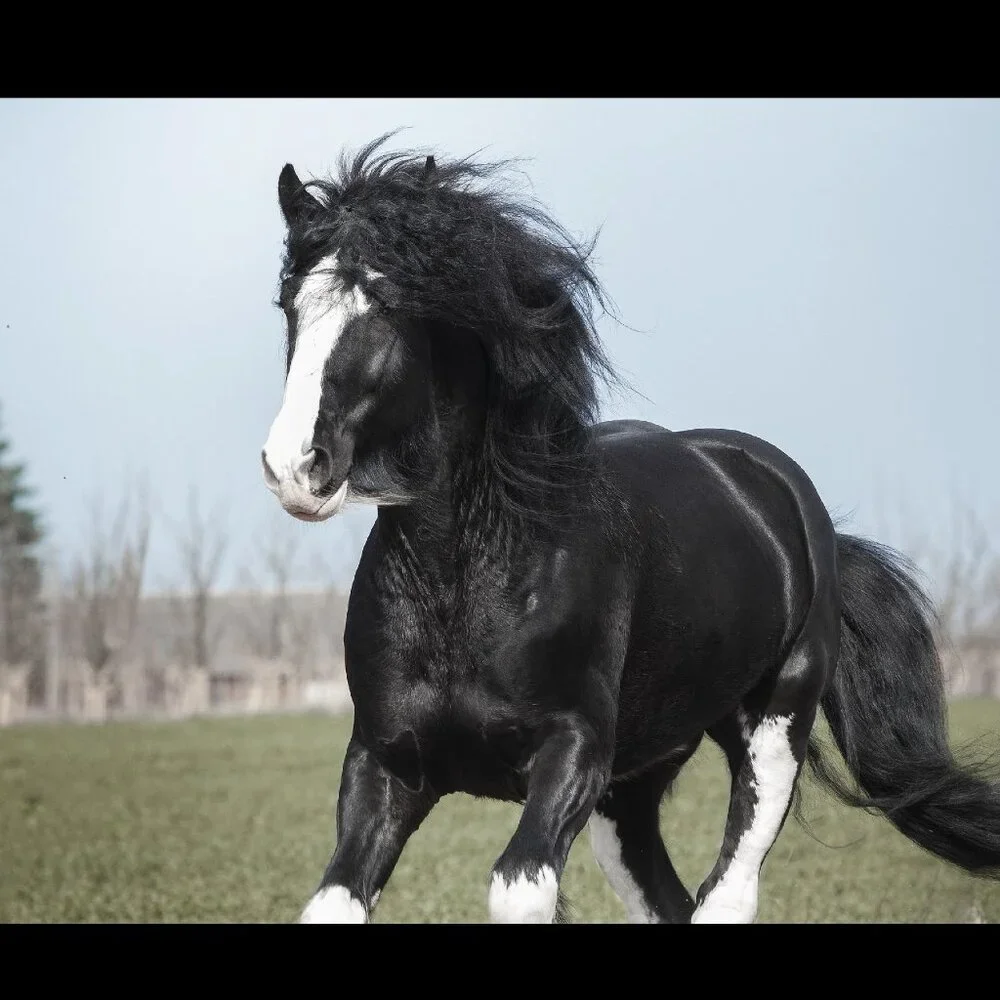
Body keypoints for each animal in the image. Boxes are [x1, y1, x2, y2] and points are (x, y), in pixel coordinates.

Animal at [260, 135, 1000, 923]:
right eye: (290, 302)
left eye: (390, 304)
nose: (295, 467)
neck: (472, 578)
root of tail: (790, 503)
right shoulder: (384, 761)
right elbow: (334, 900)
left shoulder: (573, 754)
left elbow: (518, 888)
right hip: (636, 785)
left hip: (774, 728)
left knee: (728, 892)